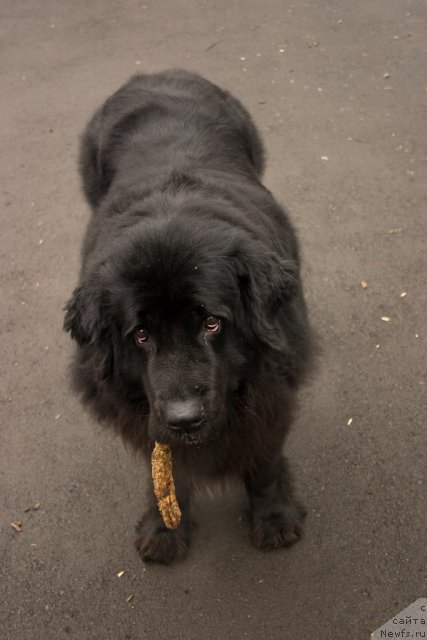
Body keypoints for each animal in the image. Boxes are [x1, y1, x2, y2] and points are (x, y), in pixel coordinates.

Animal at [66, 67, 314, 564]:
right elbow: (163, 467)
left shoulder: (273, 390)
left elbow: (264, 459)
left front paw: (274, 517)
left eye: (211, 323)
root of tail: (158, 72)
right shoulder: (141, 409)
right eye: (141, 335)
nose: (185, 419)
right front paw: (163, 527)